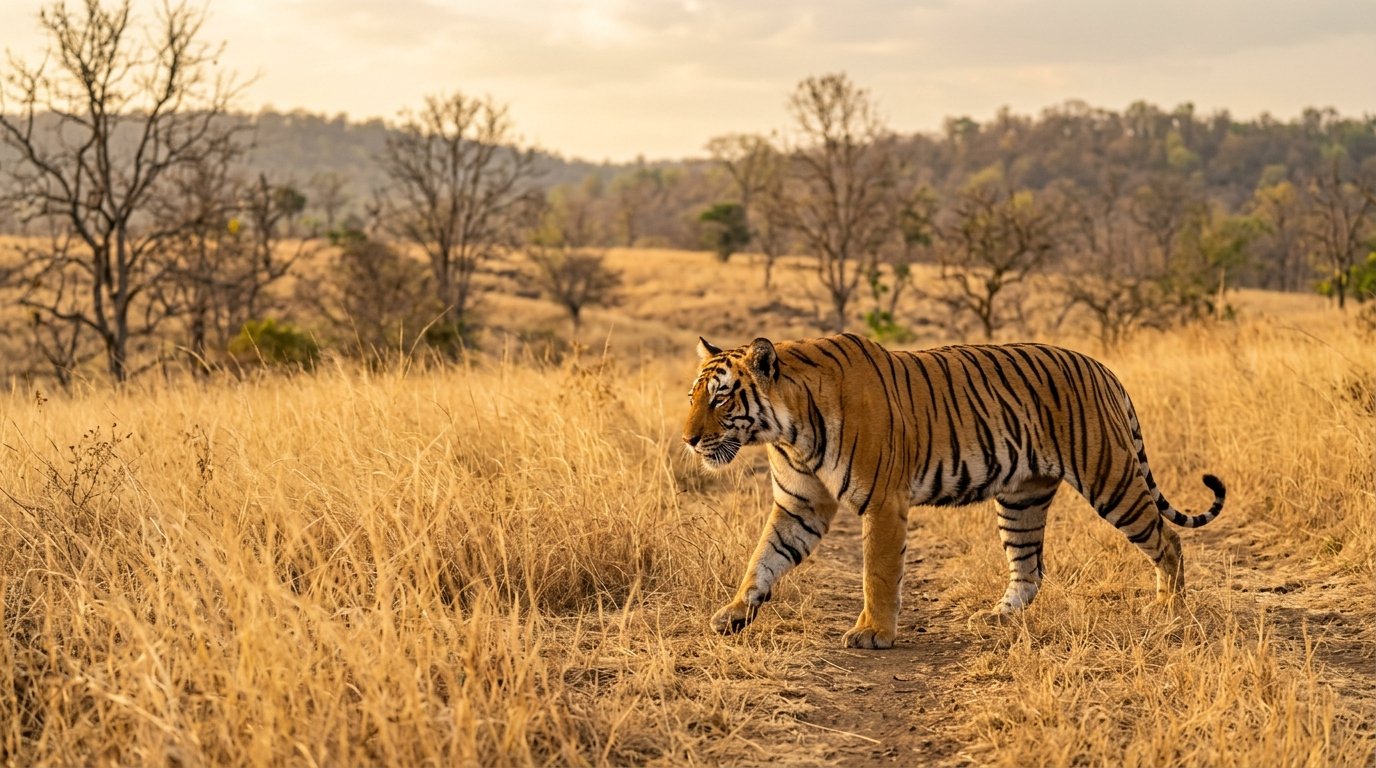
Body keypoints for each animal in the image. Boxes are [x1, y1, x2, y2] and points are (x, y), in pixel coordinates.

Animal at [682, 333, 1225, 649]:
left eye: (721, 397)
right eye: (693, 396)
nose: (687, 439)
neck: (787, 431)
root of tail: (1104, 370)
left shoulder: (883, 501)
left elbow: (878, 573)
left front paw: (872, 633)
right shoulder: (801, 505)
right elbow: (763, 558)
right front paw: (732, 615)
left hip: (1110, 477)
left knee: (1167, 540)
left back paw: (1168, 610)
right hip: (1021, 499)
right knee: (1030, 568)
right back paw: (998, 618)